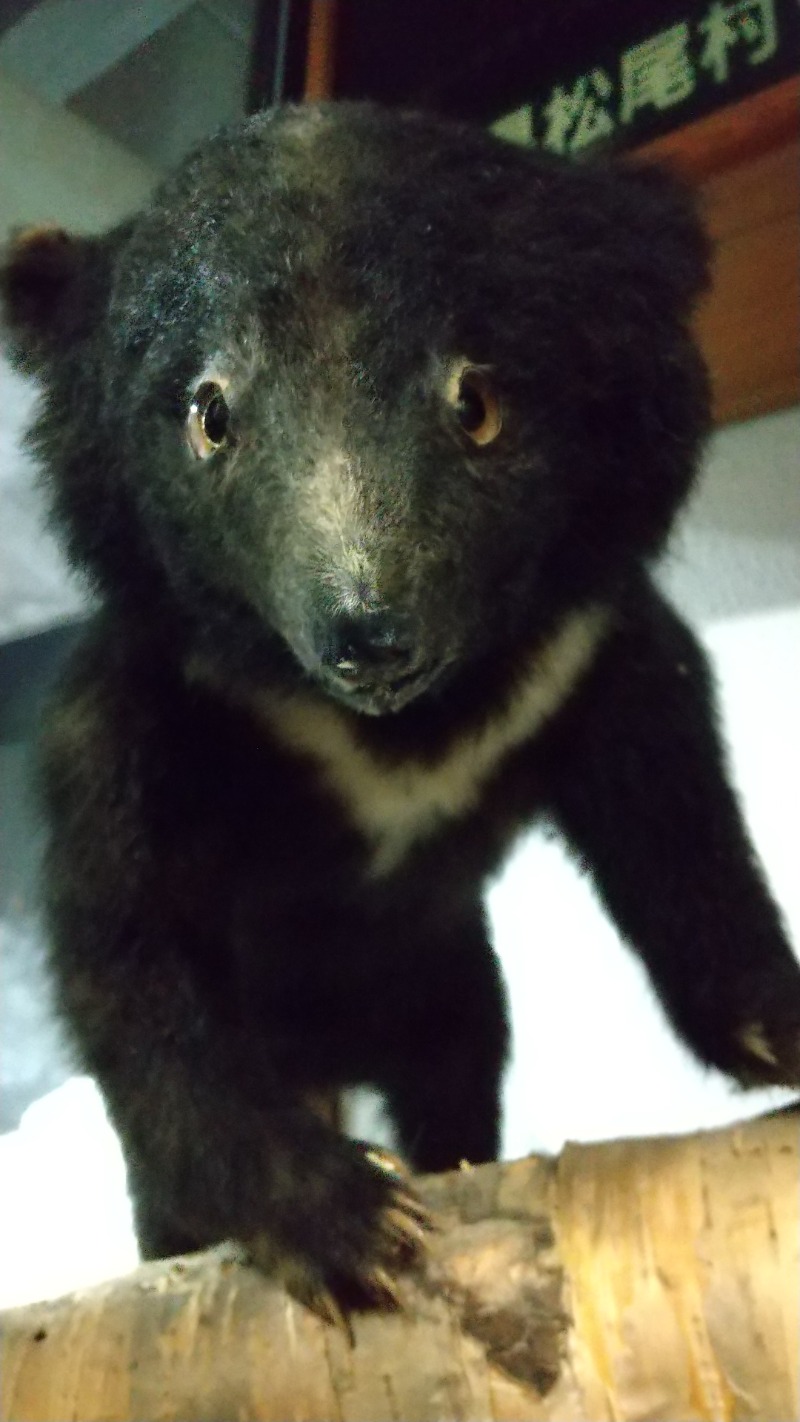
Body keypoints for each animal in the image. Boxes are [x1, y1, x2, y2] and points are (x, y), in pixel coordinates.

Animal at [4, 100, 800, 1313]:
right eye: (207, 414)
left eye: (476, 402)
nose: (368, 629)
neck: (391, 729)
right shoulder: (149, 711)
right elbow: (130, 956)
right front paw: (350, 1223)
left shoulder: (587, 657)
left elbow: (677, 834)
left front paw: (782, 1026)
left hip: (448, 986)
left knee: (458, 1074)